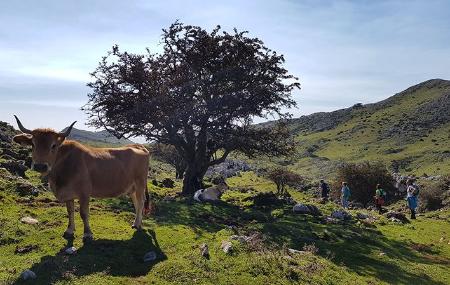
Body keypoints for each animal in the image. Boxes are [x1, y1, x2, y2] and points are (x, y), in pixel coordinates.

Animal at [10, 115, 150, 242]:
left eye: (53, 145)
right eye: (33, 144)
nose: (40, 166)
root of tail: (138, 146)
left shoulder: (84, 193)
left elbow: (83, 213)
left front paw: (87, 233)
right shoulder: (68, 193)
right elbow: (70, 211)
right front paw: (69, 230)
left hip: (140, 183)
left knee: (141, 201)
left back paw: (137, 224)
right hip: (132, 187)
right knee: (137, 202)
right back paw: (137, 222)